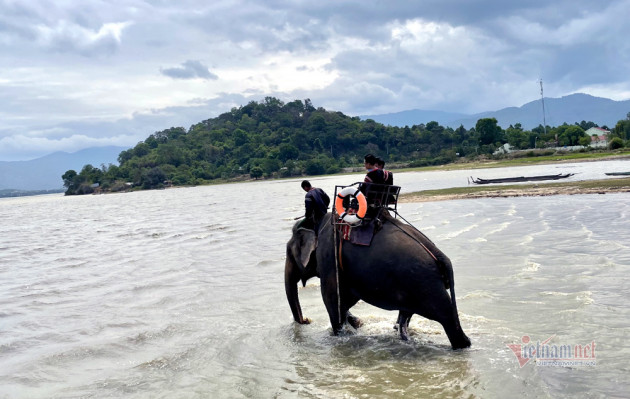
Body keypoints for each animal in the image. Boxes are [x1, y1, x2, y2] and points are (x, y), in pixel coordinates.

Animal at [284, 212, 472, 350]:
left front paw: (341, 334)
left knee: (447, 318)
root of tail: (439, 255)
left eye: (288, 252)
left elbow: (332, 299)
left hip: (425, 285)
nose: (307, 320)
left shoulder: (329, 257)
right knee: (409, 315)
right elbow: (344, 301)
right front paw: (357, 323)